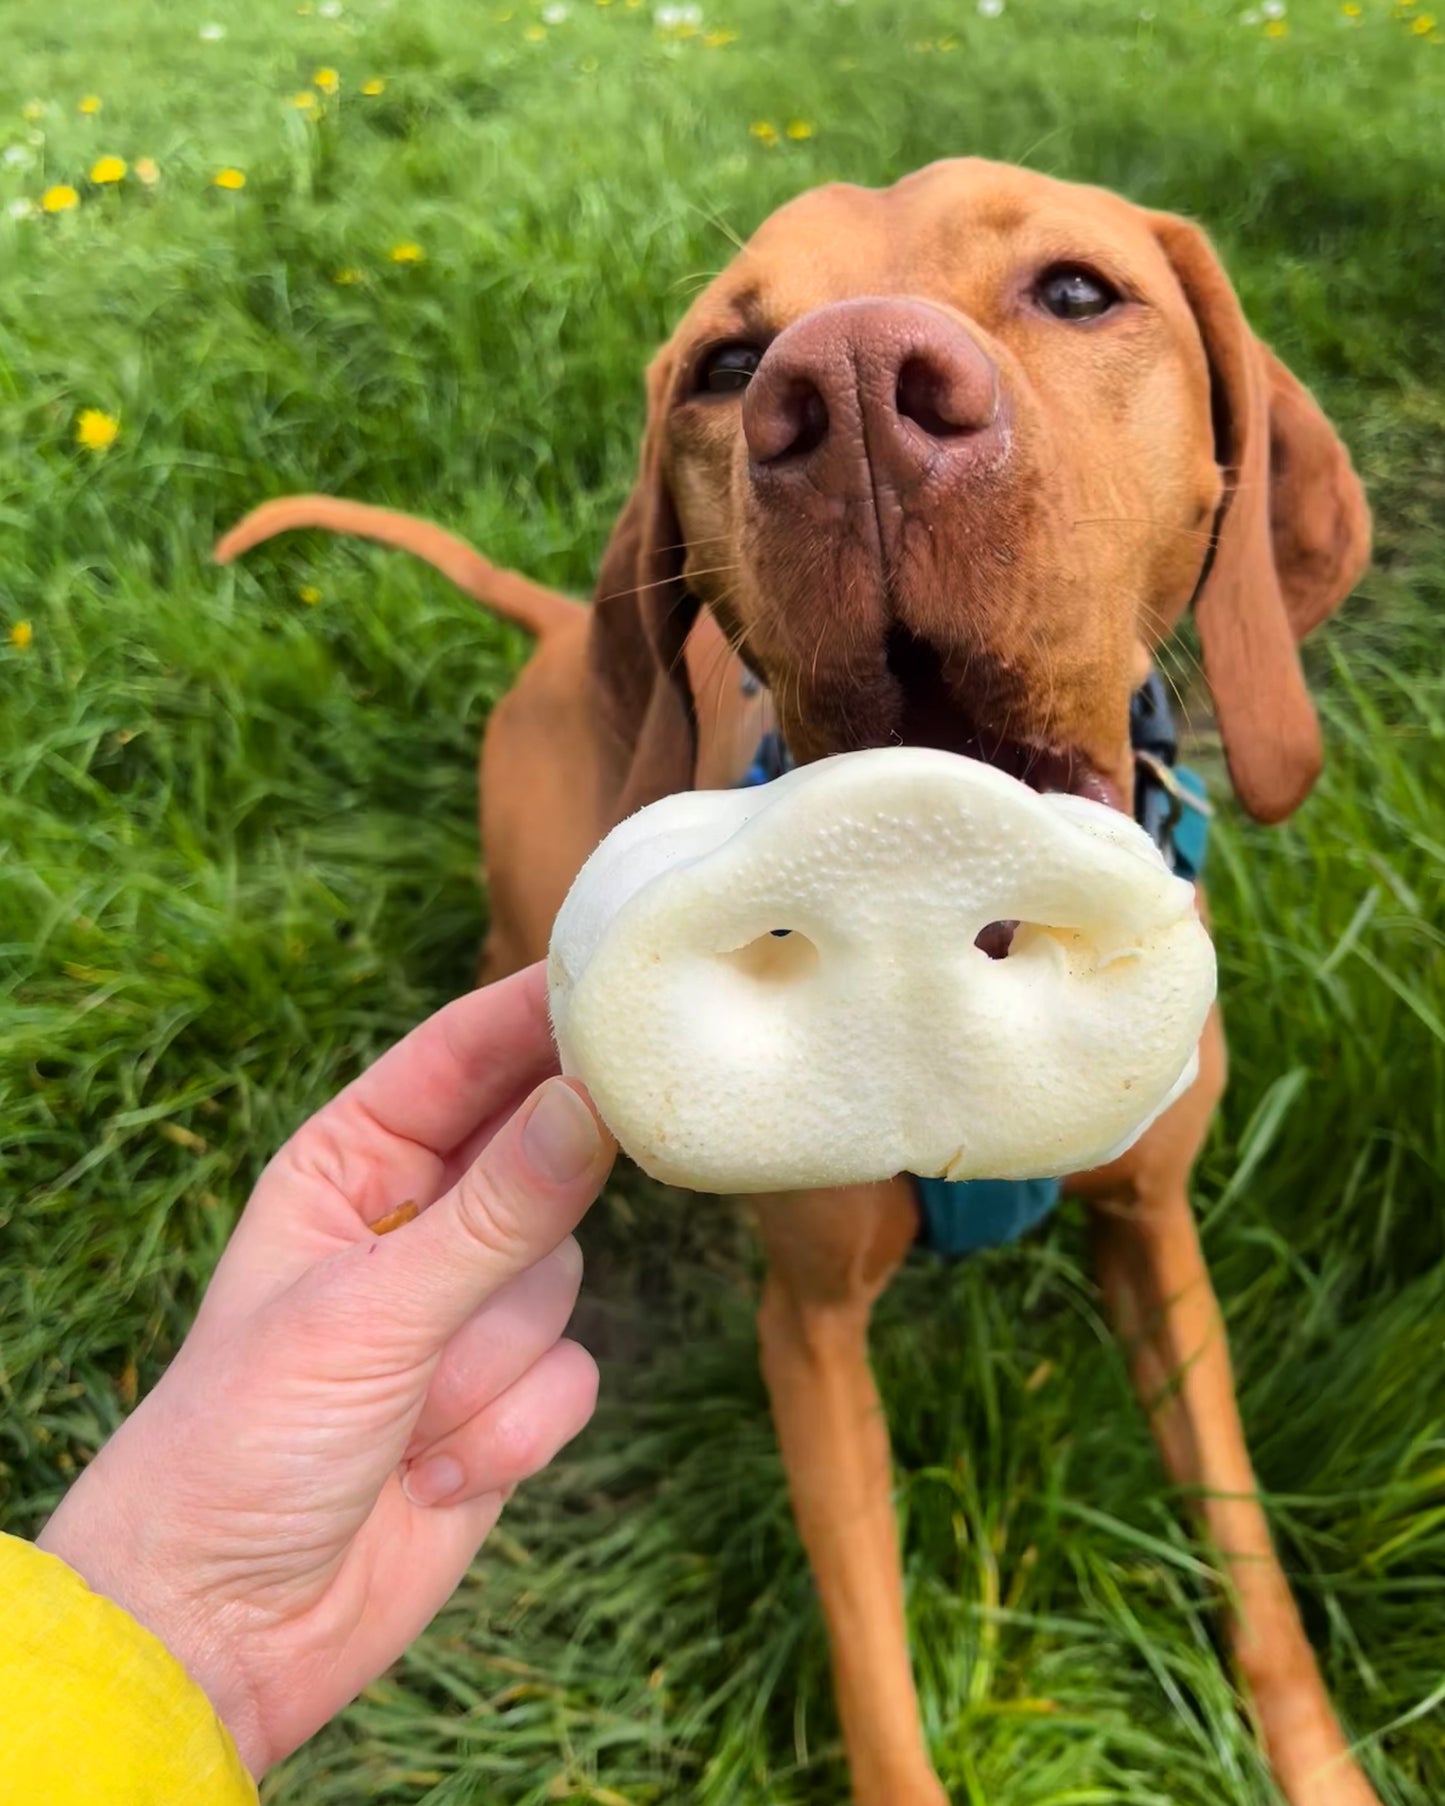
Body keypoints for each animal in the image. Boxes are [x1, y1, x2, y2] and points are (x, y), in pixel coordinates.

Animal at [217, 162, 1379, 1798]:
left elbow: (1243, 1543)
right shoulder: (812, 1333)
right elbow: (872, 1657)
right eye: (725, 363)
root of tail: (559, 628)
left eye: (1077, 290)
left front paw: (1320, 1761)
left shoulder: (1159, 1235)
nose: (849, 390)